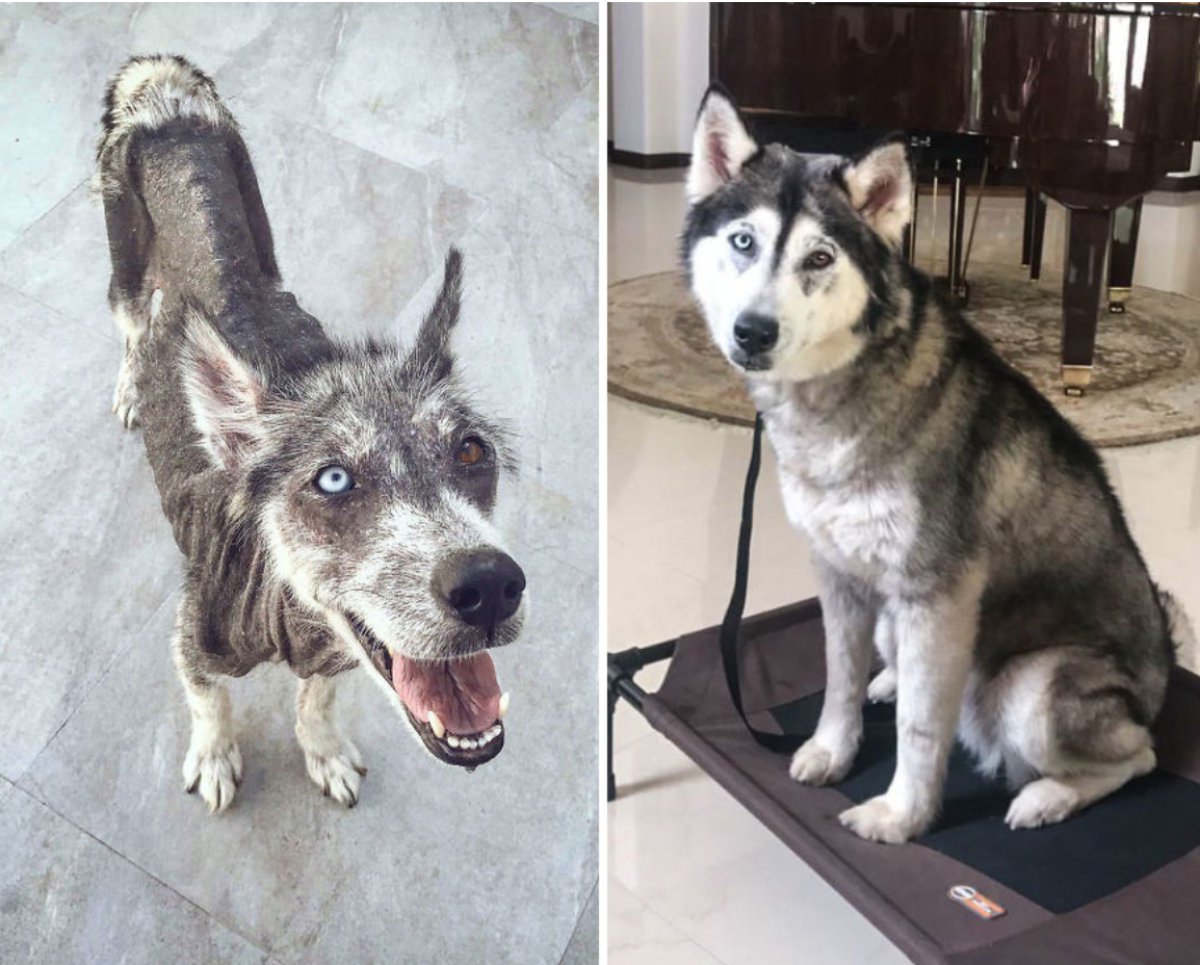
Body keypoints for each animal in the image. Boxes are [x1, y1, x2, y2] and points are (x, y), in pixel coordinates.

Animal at [96, 52, 523, 806]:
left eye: (472, 450)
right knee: (129, 324)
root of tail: (167, 103)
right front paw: (215, 756)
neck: (286, 610)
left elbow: (316, 700)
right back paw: (130, 385)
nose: (491, 585)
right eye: (333, 478)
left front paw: (323, 752)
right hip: (124, 265)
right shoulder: (193, 643)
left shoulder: (336, 657)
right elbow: (210, 704)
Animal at [681, 88, 1195, 844]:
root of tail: (1162, 670)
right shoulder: (839, 574)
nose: (753, 331)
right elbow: (838, 676)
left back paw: (1047, 796)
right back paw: (892, 679)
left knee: (1139, 755)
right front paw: (833, 749)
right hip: (901, 621)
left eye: (819, 258)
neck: (842, 393)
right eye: (744, 241)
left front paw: (903, 814)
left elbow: (922, 728)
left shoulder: (938, 595)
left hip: (1033, 690)